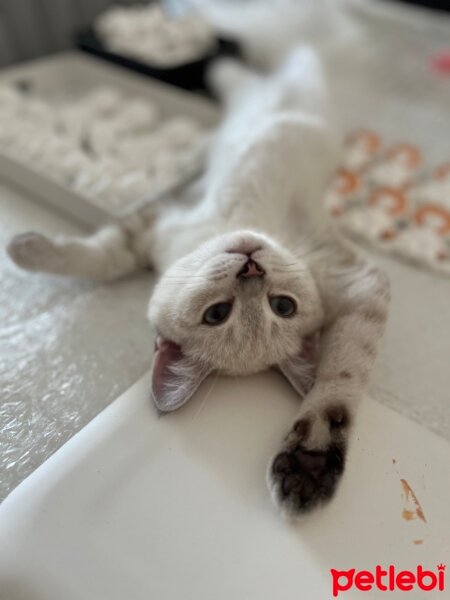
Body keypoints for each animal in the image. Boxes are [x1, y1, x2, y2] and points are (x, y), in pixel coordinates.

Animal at [7, 45, 388, 516]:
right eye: (217, 313)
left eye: (282, 306)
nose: (251, 267)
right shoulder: (153, 227)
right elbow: (99, 257)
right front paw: (24, 249)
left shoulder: (360, 282)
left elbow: (339, 381)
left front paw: (308, 462)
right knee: (248, 71)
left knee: (272, 64)